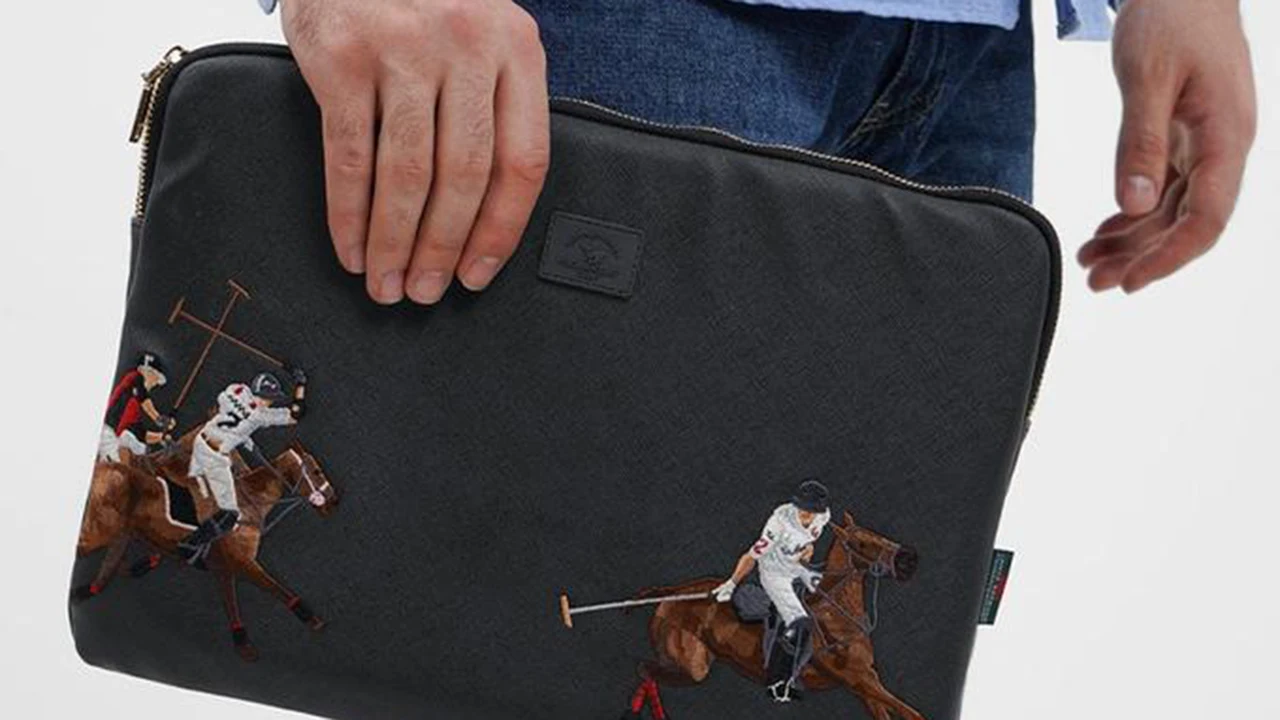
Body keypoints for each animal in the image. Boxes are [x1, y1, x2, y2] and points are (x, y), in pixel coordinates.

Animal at [73, 430, 340, 662]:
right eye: (317, 471)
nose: (334, 503)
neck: (247, 503)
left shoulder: (223, 566)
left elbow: (231, 603)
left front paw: (243, 644)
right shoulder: (243, 562)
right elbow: (275, 588)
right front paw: (312, 620)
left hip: (120, 533)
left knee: (107, 569)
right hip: (99, 533)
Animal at [622, 511, 925, 720]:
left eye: (876, 535)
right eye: (861, 544)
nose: (908, 560)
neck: (835, 614)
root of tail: (673, 592)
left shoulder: (866, 686)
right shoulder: (860, 680)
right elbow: (913, 714)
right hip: (691, 666)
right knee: (645, 670)